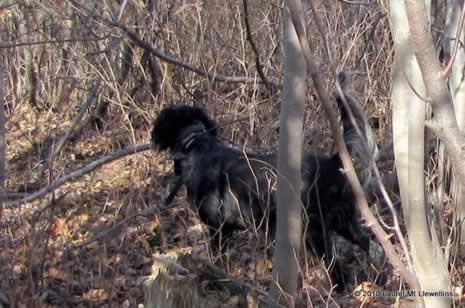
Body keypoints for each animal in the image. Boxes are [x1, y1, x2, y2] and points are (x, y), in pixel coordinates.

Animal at [152, 72, 376, 288]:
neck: (198, 148)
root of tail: (332, 162)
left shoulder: (218, 228)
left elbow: (217, 257)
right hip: (343, 221)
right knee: (367, 242)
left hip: (316, 231)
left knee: (336, 266)